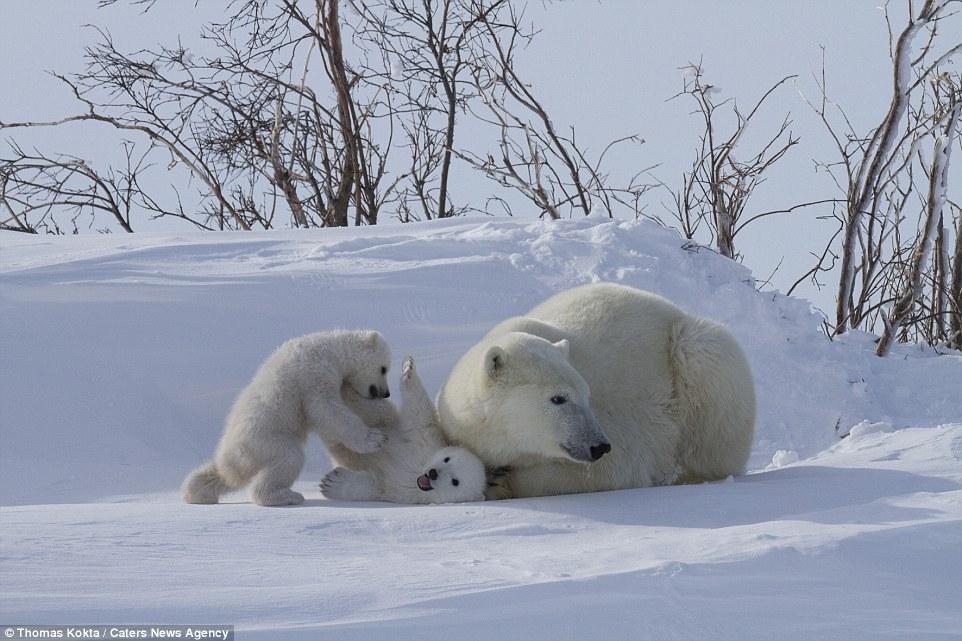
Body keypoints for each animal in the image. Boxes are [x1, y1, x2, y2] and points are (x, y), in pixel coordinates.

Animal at [436, 282, 756, 498]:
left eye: (587, 396)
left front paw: (501, 483)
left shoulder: (625, 427)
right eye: (558, 398)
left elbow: (611, 468)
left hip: (691, 355)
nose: (599, 445)